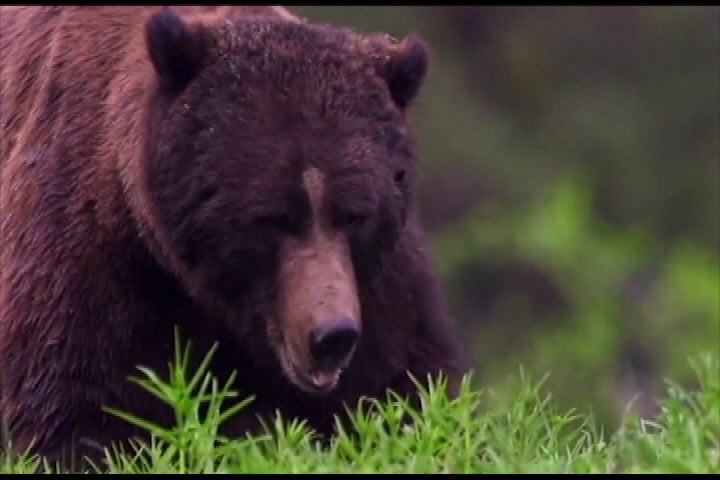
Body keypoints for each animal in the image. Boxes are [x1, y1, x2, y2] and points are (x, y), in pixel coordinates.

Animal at [0, 3, 470, 468]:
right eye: (272, 217)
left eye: (356, 215)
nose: (331, 335)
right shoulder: (89, 247)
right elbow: (81, 409)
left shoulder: (380, 288)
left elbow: (404, 393)